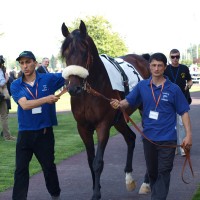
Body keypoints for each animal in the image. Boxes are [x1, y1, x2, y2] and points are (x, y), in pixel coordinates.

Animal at [60, 20, 150, 200]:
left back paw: (146, 182)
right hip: (119, 118)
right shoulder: (83, 127)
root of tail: (142, 58)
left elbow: (98, 162)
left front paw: (96, 193)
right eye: (65, 53)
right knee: (131, 138)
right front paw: (97, 187)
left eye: (84, 51)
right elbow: (90, 160)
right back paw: (129, 179)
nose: (74, 88)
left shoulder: (103, 125)